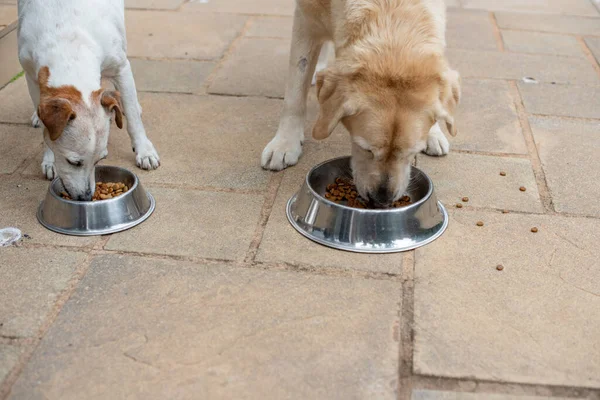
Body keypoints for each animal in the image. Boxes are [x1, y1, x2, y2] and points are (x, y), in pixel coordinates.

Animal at [18, 0, 159, 200]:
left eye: (100, 160)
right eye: (73, 162)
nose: (86, 197)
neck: (68, 42)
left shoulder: (121, 68)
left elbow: (133, 120)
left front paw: (144, 151)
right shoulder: (32, 76)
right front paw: (50, 158)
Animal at [262, 0, 460, 206]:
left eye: (411, 153)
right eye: (366, 149)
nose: (381, 200)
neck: (389, 9)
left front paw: (434, 132)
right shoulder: (306, 18)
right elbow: (295, 91)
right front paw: (285, 143)